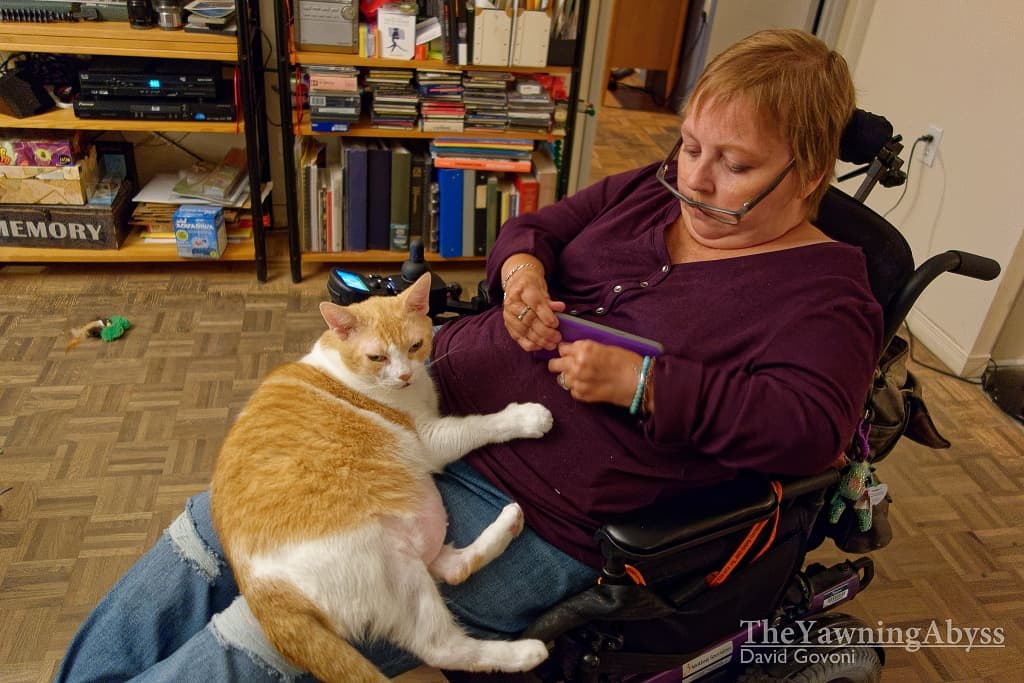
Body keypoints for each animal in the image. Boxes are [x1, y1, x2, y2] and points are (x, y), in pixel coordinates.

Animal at [208, 274, 557, 683]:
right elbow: (480, 425)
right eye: (378, 358)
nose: (405, 375)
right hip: (393, 566)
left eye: (415, 346)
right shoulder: (431, 439)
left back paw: (510, 523)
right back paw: (527, 653)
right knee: (444, 646)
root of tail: (262, 595)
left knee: (453, 569)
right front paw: (527, 418)